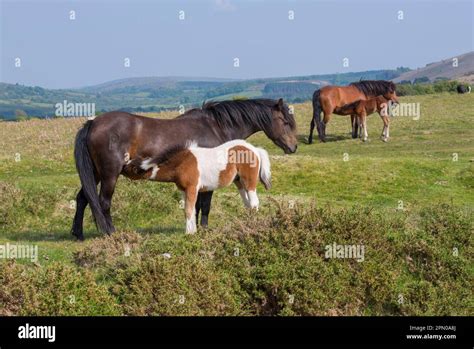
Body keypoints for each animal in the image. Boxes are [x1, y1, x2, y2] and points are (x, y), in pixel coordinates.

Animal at [122, 139, 270, 234]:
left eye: (132, 167)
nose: (121, 167)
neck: (181, 162)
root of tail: (255, 149)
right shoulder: (183, 190)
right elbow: (191, 210)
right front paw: (193, 231)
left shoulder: (192, 188)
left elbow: (189, 210)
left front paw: (189, 233)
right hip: (239, 182)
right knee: (248, 204)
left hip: (249, 181)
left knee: (254, 203)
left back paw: (253, 225)